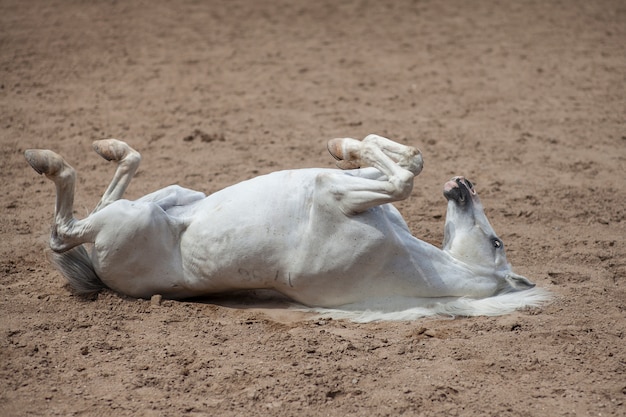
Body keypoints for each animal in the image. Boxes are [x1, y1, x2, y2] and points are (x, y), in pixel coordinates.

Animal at [24, 135, 548, 320]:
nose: (464, 185)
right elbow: (407, 163)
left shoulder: (337, 194)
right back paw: (108, 147)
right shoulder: (348, 187)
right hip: (170, 197)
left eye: (497, 241)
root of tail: (99, 273)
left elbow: (403, 179)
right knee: (113, 185)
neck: (411, 260)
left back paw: (45, 159)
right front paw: (344, 144)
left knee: (64, 231)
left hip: (130, 220)